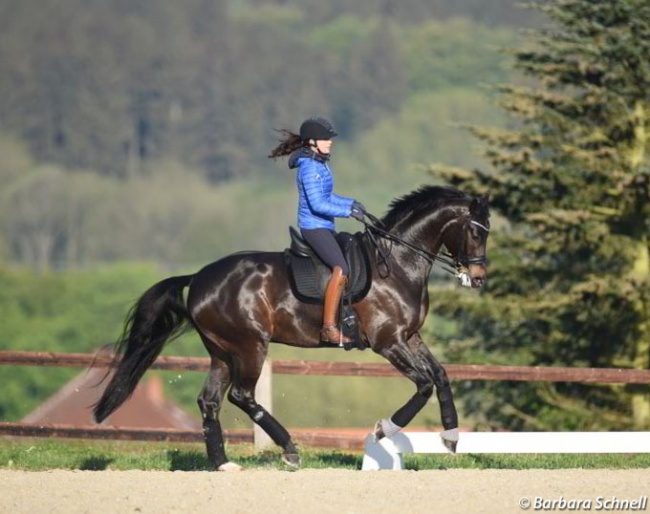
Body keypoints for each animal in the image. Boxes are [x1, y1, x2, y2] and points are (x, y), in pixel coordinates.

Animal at [93, 184, 488, 468]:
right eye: (475, 231)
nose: (479, 277)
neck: (398, 263)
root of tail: (200, 278)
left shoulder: (410, 336)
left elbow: (441, 376)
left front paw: (452, 435)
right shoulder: (388, 342)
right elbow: (423, 385)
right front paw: (381, 431)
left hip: (222, 351)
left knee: (210, 401)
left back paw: (223, 465)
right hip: (250, 346)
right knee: (241, 396)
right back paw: (289, 449)